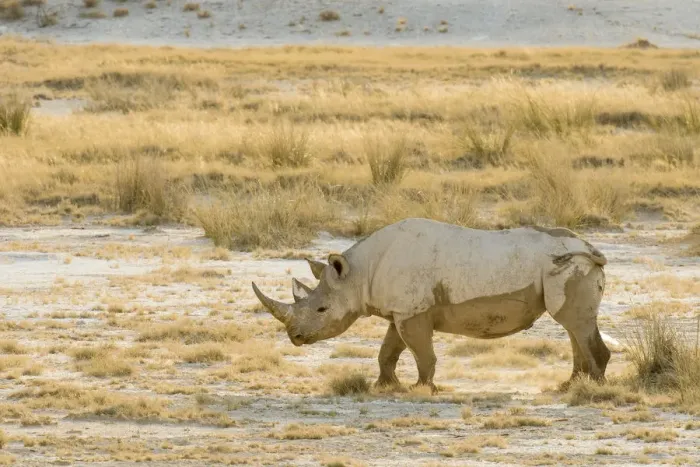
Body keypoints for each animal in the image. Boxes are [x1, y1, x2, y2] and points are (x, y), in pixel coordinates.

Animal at [252, 218, 611, 393]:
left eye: (321, 310)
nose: (295, 338)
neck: (358, 273)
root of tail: (591, 249)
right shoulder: (401, 311)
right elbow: (388, 351)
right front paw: (386, 386)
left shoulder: (412, 312)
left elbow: (422, 353)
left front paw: (423, 388)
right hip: (568, 268)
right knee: (573, 326)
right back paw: (570, 386)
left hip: (568, 267)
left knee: (574, 324)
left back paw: (595, 391)